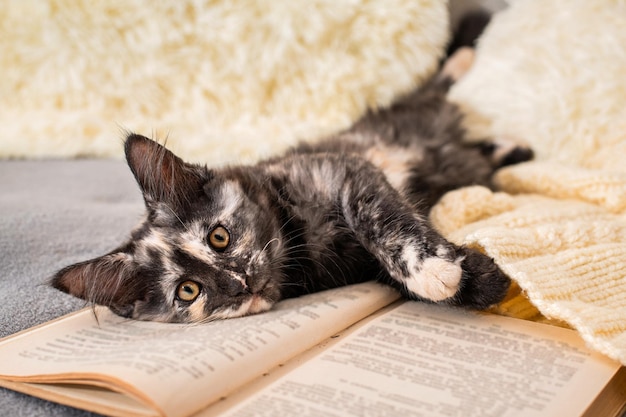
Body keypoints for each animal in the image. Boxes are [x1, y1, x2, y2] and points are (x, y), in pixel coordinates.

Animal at [51, 48, 532, 322]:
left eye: (219, 237)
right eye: (188, 291)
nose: (240, 282)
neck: (299, 242)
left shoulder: (344, 169)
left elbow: (381, 219)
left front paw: (435, 270)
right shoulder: (358, 262)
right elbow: (395, 275)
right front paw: (475, 280)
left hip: (412, 113)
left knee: (437, 86)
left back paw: (468, 58)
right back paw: (512, 150)